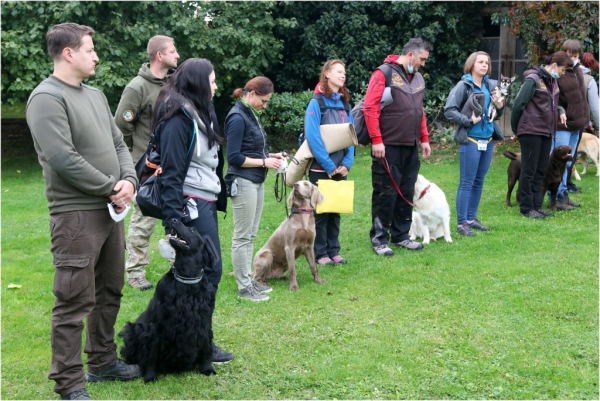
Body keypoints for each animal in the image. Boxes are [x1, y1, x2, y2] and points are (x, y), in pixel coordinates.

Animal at [118, 219, 217, 382]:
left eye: (193, 230)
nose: (174, 219)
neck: (187, 281)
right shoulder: (157, 326)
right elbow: (152, 354)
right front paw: (150, 376)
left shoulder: (204, 321)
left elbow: (206, 347)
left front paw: (207, 368)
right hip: (135, 329)